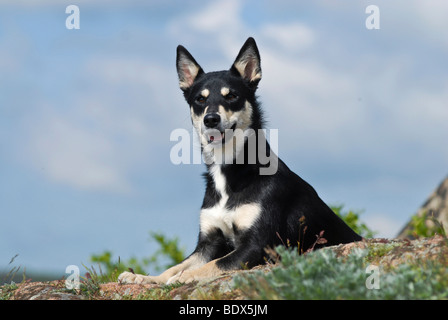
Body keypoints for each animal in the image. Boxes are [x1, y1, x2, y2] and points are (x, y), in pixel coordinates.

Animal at [117, 38, 362, 284]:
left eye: (231, 96)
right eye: (200, 99)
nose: (211, 119)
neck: (231, 171)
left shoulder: (258, 245)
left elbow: (213, 265)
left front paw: (183, 278)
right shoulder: (208, 242)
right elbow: (177, 265)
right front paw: (144, 278)